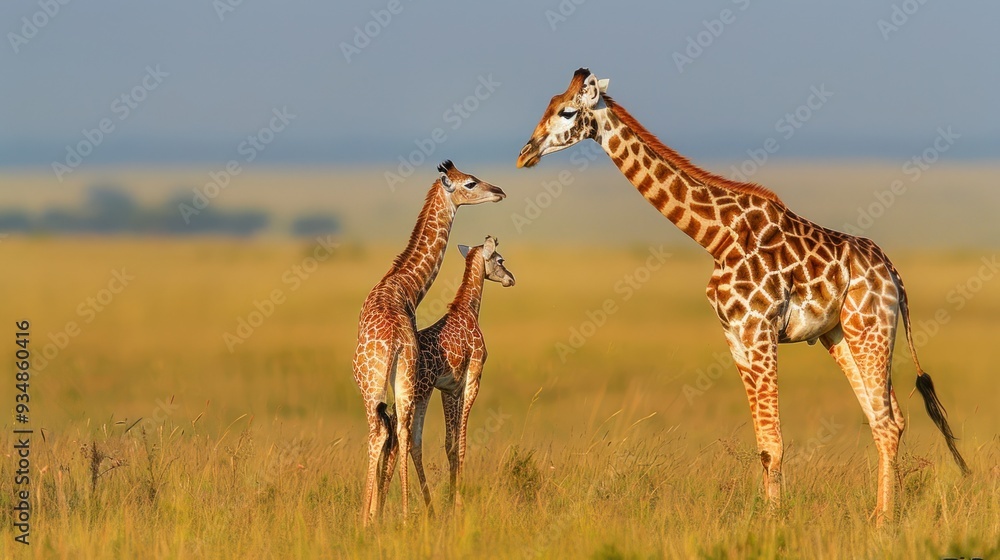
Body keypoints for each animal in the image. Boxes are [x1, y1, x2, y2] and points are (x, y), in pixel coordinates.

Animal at [390, 236, 516, 514]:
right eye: (500, 259)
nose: (511, 279)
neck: (468, 308)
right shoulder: (472, 378)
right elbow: (462, 443)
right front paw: (458, 503)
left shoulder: (448, 389)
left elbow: (450, 444)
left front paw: (450, 500)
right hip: (419, 393)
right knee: (408, 441)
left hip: (406, 396)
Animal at [515, 68, 969, 523]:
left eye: (567, 111)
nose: (524, 155)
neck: (715, 236)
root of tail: (894, 274)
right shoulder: (735, 336)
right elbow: (763, 446)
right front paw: (769, 516)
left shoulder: (759, 329)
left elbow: (774, 444)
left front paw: (774, 522)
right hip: (840, 335)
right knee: (885, 419)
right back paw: (879, 514)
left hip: (870, 329)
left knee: (888, 422)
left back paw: (884, 521)